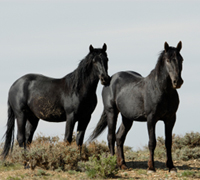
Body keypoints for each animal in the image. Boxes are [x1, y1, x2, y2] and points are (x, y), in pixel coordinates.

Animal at [90, 41, 184, 172]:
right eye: (168, 60)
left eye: (181, 59)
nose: (177, 81)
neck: (160, 90)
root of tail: (110, 79)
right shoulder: (151, 119)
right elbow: (152, 142)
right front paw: (151, 167)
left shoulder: (171, 119)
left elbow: (168, 142)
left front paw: (171, 166)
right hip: (111, 112)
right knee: (111, 137)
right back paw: (114, 163)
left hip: (127, 118)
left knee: (119, 137)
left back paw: (123, 164)